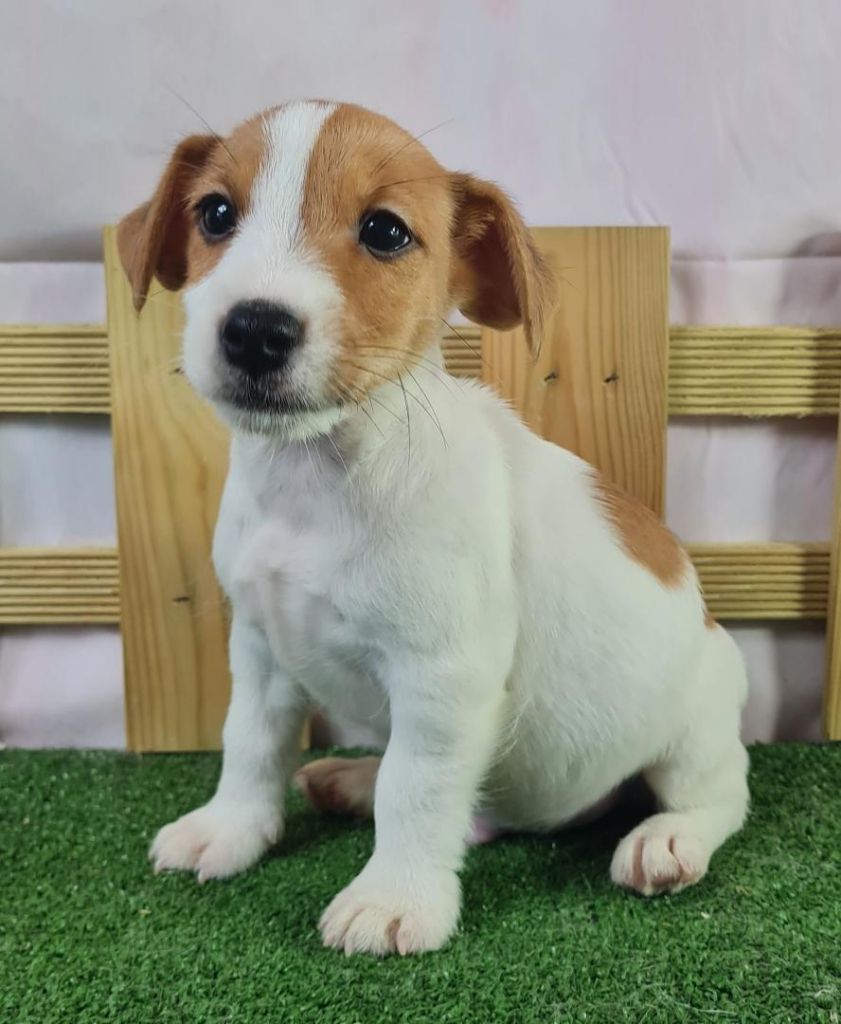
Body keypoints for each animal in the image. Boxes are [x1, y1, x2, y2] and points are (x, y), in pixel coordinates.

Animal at [116, 99, 749, 954]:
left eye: (385, 231)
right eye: (215, 213)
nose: (253, 329)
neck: (316, 478)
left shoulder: (441, 677)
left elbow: (413, 789)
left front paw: (396, 897)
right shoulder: (261, 650)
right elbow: (250, 744)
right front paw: (230, 828)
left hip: (696, 730)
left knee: (719, 795)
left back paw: (667, 837)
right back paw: (353, 780)